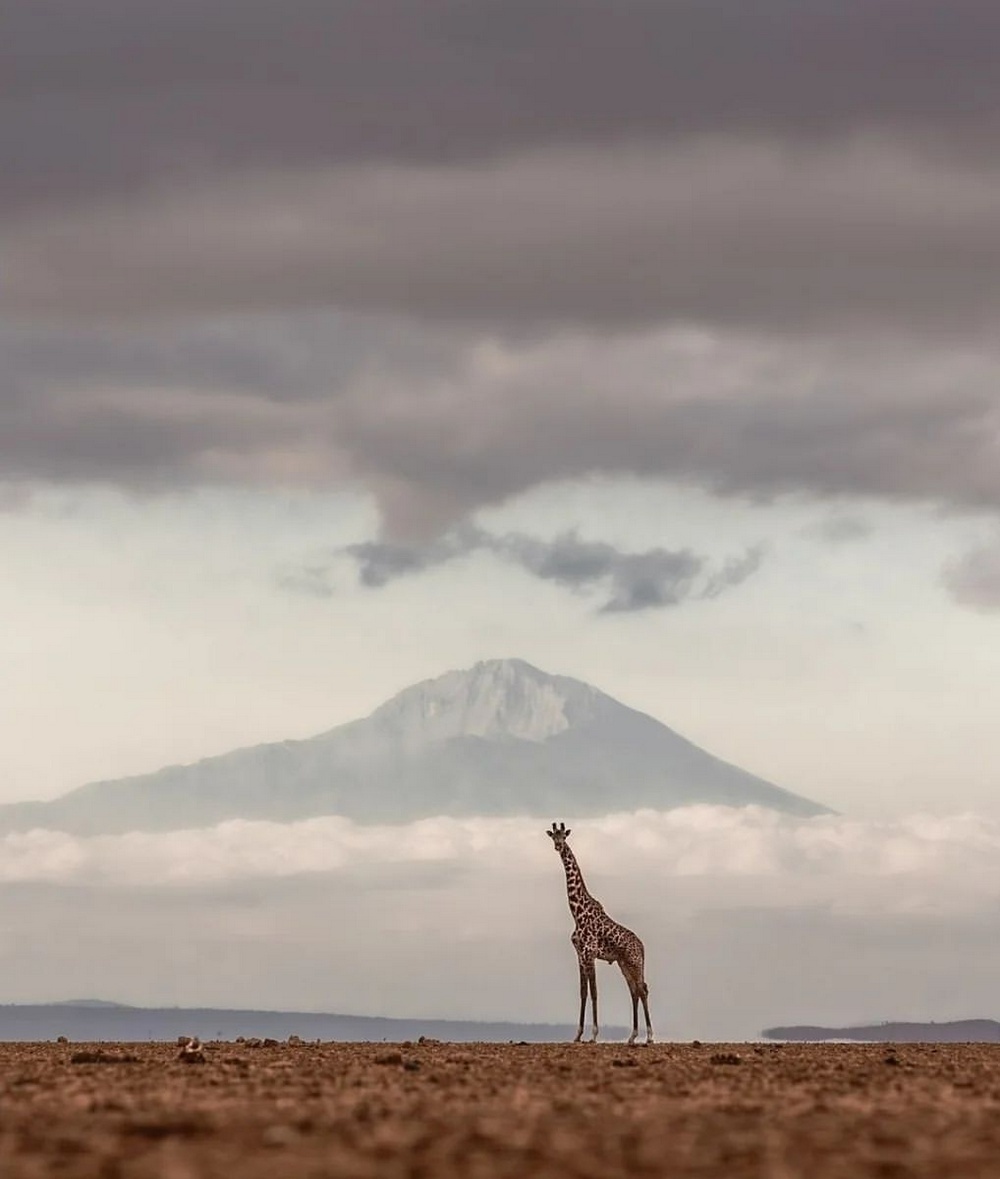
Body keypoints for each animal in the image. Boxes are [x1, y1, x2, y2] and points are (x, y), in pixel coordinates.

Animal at [547, 820, 655, 1042]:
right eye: (553, 836)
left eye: (564, 836)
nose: (558, 846)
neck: (576, 912)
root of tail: (642, 946)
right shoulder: (580, 955)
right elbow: (583, 993)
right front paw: (578, 1035)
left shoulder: (590, 954)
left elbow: (595, 992)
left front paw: (594, 1035)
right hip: (624, 964)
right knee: (634, 991)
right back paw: (632, 1036)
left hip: (635, 962)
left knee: (642, 990)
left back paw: (649, 1036)